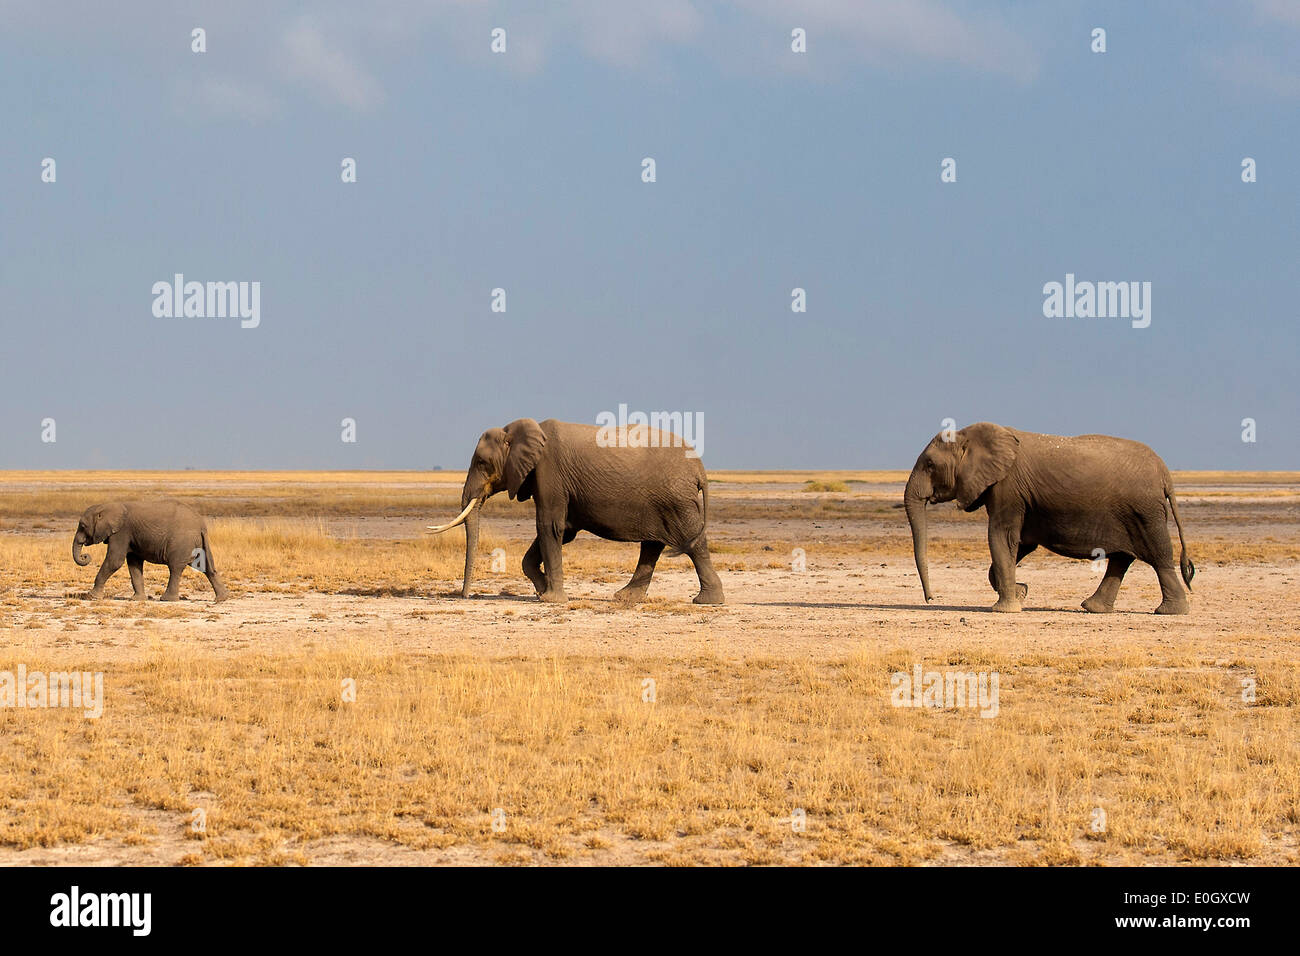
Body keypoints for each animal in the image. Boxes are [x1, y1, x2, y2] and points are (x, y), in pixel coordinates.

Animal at [73, 502, 228, 606]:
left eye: (83, 526)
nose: (85, 556)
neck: (108, 506)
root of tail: (202, 525)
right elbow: (134, 564)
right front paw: (137, 599)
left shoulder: (122, 532)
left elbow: (114, 561)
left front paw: (91, 596)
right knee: (207, 568)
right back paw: (222, 598)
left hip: (181, 542)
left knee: (175, 568)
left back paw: (167, 599)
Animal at [431, 418, 728, 606]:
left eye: (482, 462)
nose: (465, 597)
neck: (515, 430)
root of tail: (700, 468)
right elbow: (563, 532)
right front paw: (542, 592)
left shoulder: (550, 474)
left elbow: (550, 527)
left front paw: (551, 599)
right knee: (652, 545)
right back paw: (625, 598)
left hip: (676, 500)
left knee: (692, 542)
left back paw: (707, 601)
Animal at [909, 421, 1190, 616]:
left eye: (930, 465)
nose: (931, 598)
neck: (970, 434)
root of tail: (1165, 473)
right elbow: (1020, 543)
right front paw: (1021, 592)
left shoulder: (1008, 487)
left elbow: (1001, 537)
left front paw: (1006, 608)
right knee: (1122, 559)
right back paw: (1093, 608)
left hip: (1145, 511)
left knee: (1158, 557)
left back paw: (1169, 611)